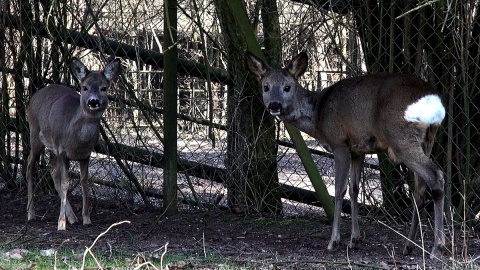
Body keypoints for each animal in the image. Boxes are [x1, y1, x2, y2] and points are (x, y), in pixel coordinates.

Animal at [27, 56, 121, 230]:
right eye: (84, 87)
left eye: (104, 88)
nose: (93, 101)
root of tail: (35, 95)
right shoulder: (62, 151)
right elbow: (65, 183)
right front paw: (60, 224)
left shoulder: (85, 154)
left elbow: (84, 182)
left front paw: (86, 218)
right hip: (35, 134)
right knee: (30, 165)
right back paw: (31, 213)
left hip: (53, 149)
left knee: (52, 172)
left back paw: (72, 217)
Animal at [246, 52, 448, 258]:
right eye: (265, 87)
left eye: (287, 87)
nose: (274, 105)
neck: (318, 115)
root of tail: (433, 100)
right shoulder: (359, 150)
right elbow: (354, 190)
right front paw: (354, 240)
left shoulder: (339, 144)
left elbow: (339, 190)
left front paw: (334, 241)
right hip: (426, 140)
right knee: (420, 189)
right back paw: (409, 246)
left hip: (401, 138)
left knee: (436, 175)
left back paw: (436, 248)